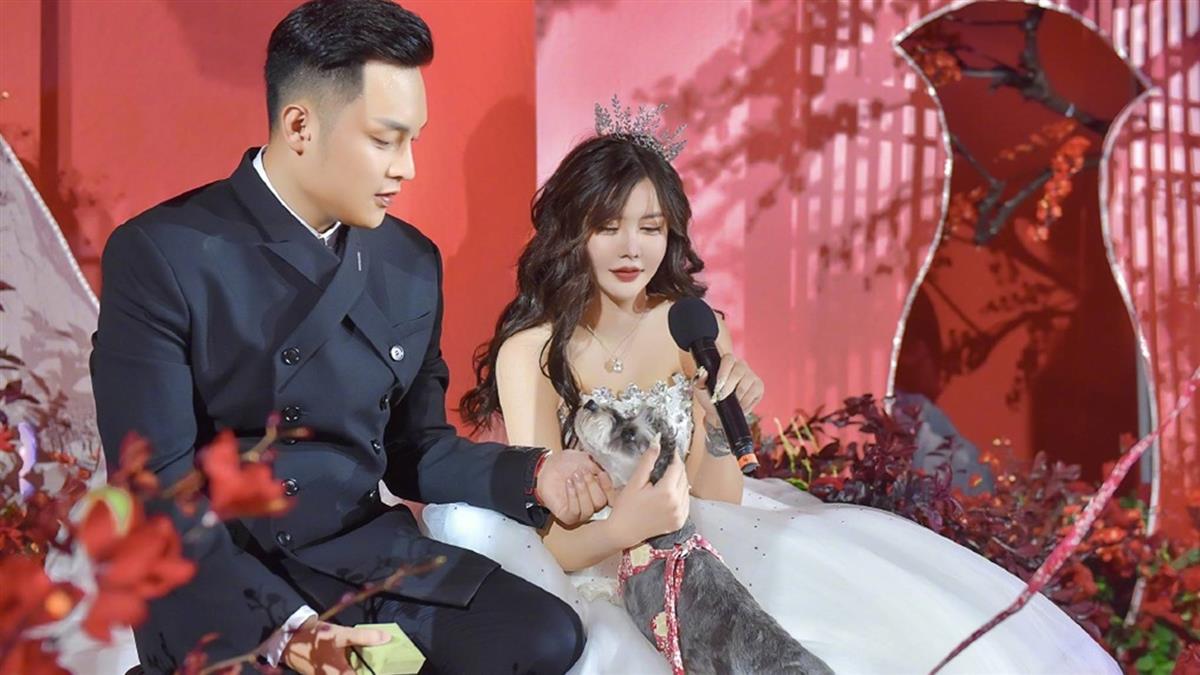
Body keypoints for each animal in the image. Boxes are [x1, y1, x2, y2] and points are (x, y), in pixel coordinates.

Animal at [574, 398, 834, 674]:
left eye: (629, 434)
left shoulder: (637, 608)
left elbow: (614, 592)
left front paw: (589, 587)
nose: (590, 403)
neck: (667, 541)